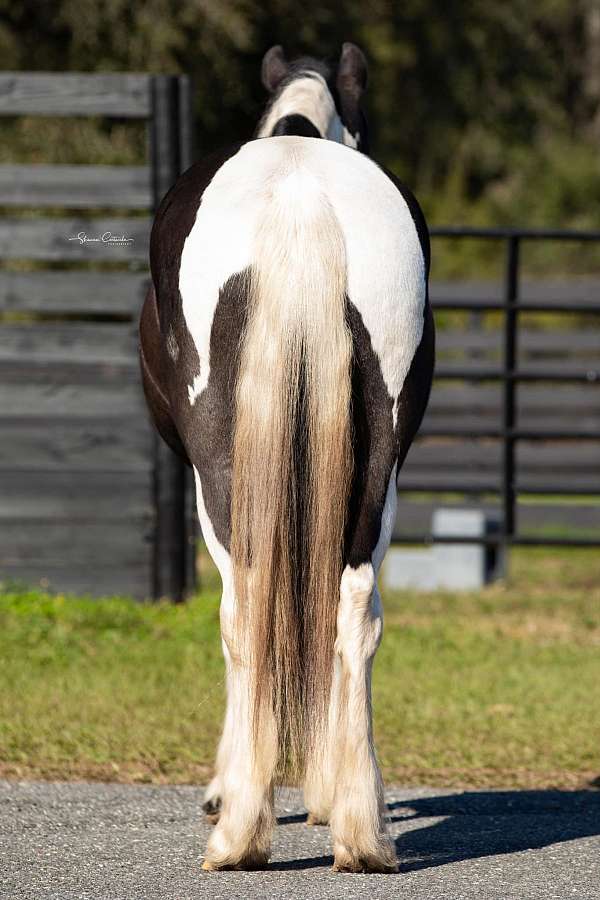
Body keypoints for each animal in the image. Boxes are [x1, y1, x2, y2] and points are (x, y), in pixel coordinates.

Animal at [139, 42, 434, 872]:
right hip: (379, 465)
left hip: (221, 472)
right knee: (354, 605)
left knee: (244, 605)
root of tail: (301, 193)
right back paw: (362, 831)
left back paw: (238, 829)